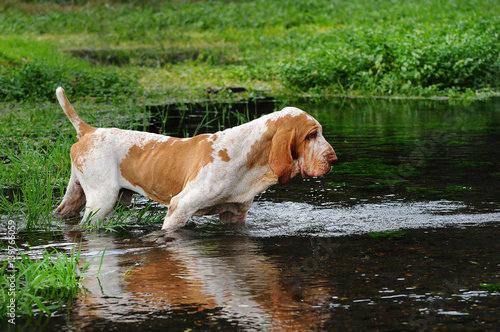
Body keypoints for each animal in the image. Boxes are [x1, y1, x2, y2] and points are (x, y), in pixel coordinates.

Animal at [53, 87, 336, 230]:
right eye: (311, 135)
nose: (333, 159)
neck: (246, 158)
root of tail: (89, 130)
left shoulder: (234, 216)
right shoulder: (180, 208)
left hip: (75, 198)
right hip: (101, 202)